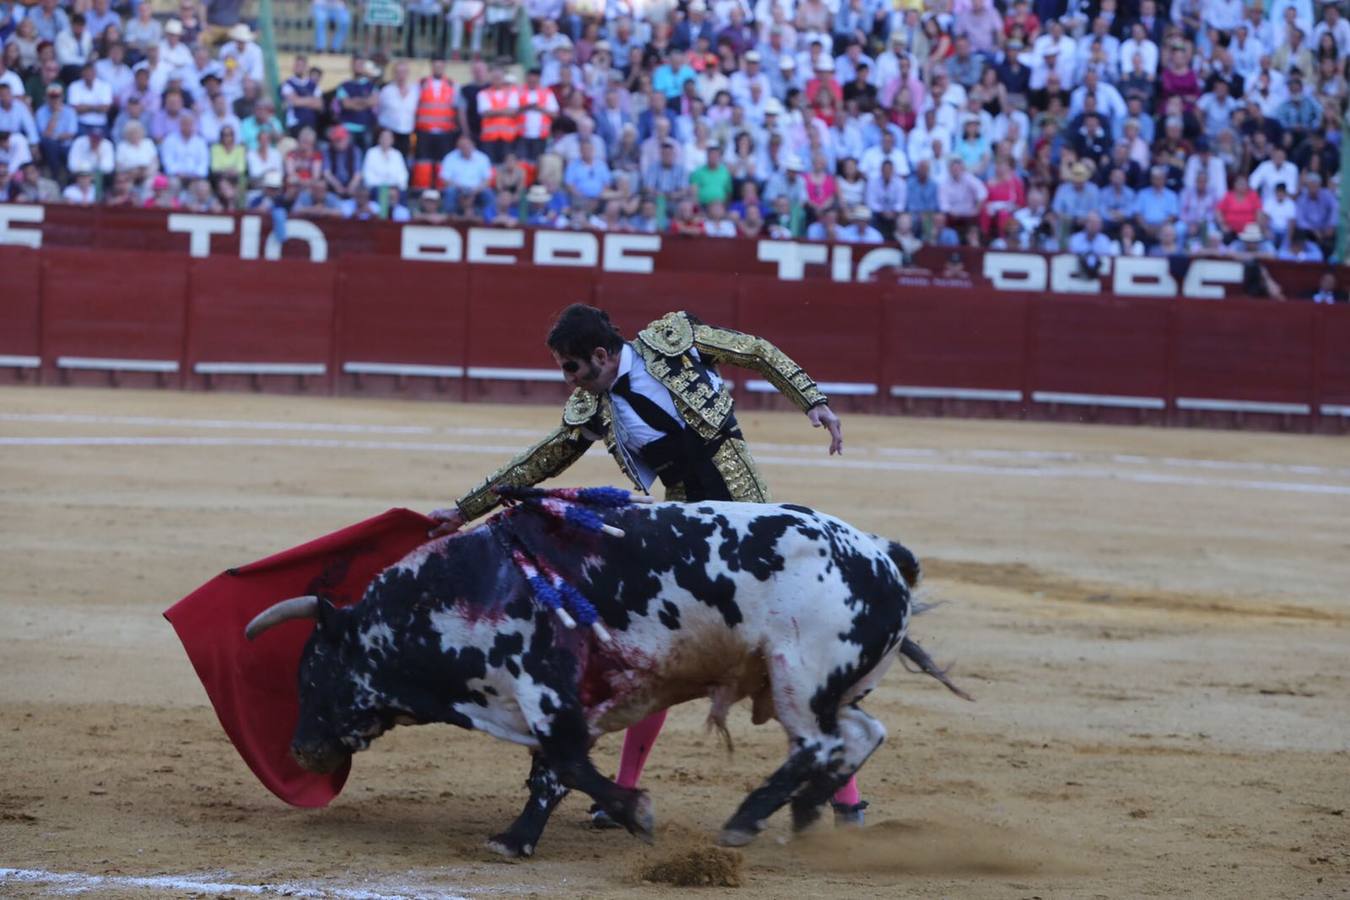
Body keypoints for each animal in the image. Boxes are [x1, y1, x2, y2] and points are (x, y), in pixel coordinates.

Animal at [248, 499, 966, 858]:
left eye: (313, 670)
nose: (299, 749)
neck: (461, 592)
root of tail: (884, 553)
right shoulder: (562, 705)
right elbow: (551, 772)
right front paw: (518, 839)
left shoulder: (546, 692)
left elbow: (564, 765)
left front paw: (631, 814)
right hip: (824, 686)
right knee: (861, 733)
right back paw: (810, 813)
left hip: (800, 675)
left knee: (819, 742)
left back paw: (746, 821)